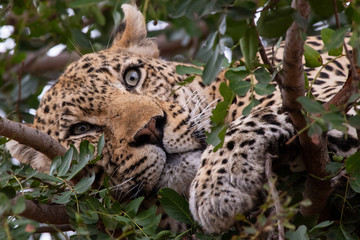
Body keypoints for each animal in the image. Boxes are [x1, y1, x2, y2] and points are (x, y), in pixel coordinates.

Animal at [5, 3, 360, 234]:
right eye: (82, 129)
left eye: (132, 77)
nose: (150, 129)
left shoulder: (330, 90)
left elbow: (254, 114)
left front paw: (217, 187)